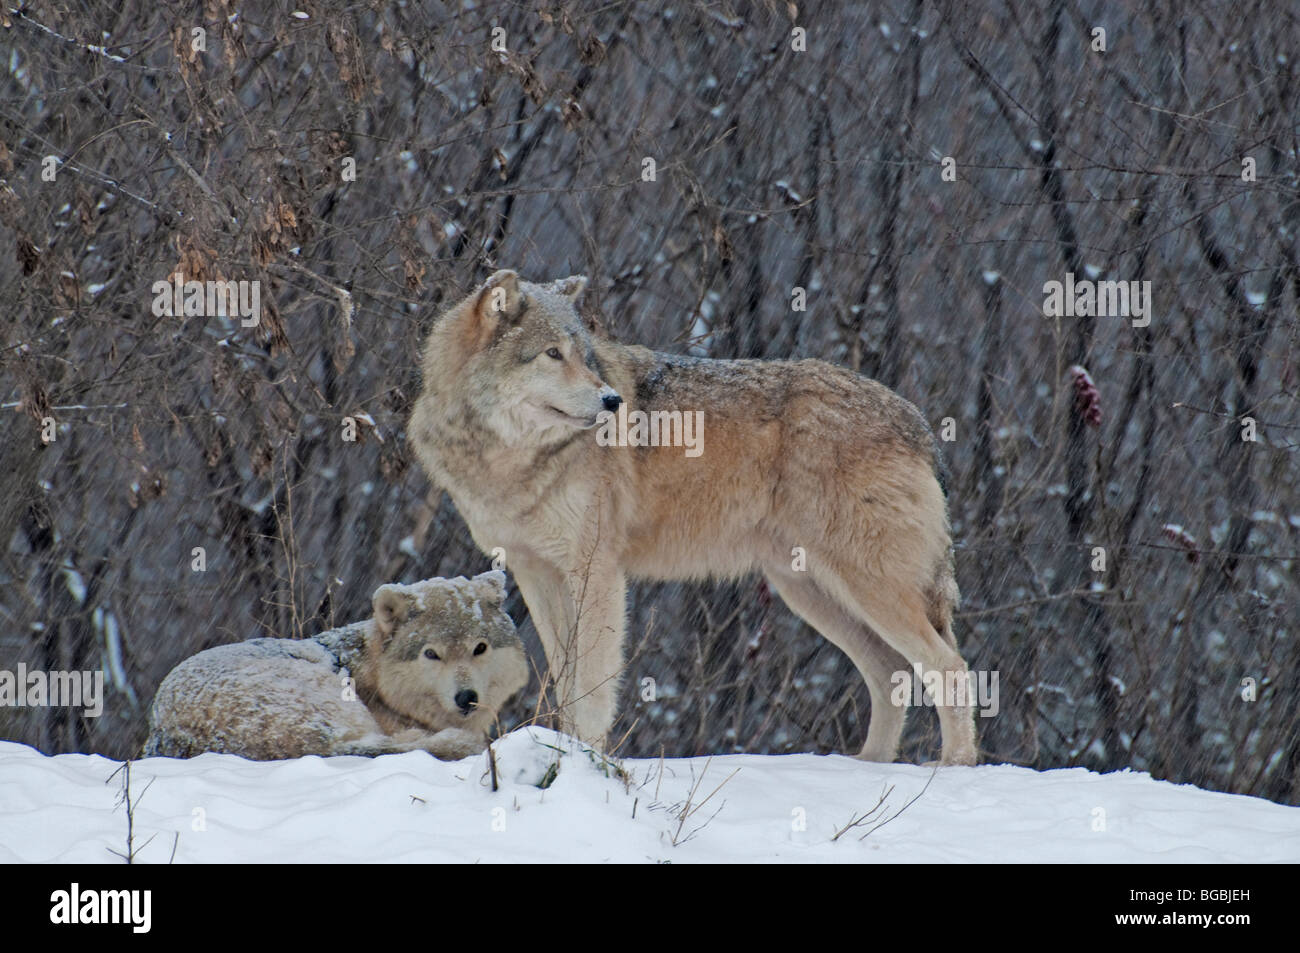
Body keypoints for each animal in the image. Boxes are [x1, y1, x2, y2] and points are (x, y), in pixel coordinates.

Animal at [410, 267, 977, 764]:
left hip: (864, 585)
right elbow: (566, 680)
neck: (508, 460)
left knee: (950, 666)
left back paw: (951, 767)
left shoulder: (597, 573)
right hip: (810, 591)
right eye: (553, 354)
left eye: (585, 357)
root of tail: (917, 421)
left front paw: (585, 758)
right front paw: (565, 751)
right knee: (890, 672)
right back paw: (869, 766)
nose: (612, 401)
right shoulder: (536, 574)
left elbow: (591, 686)